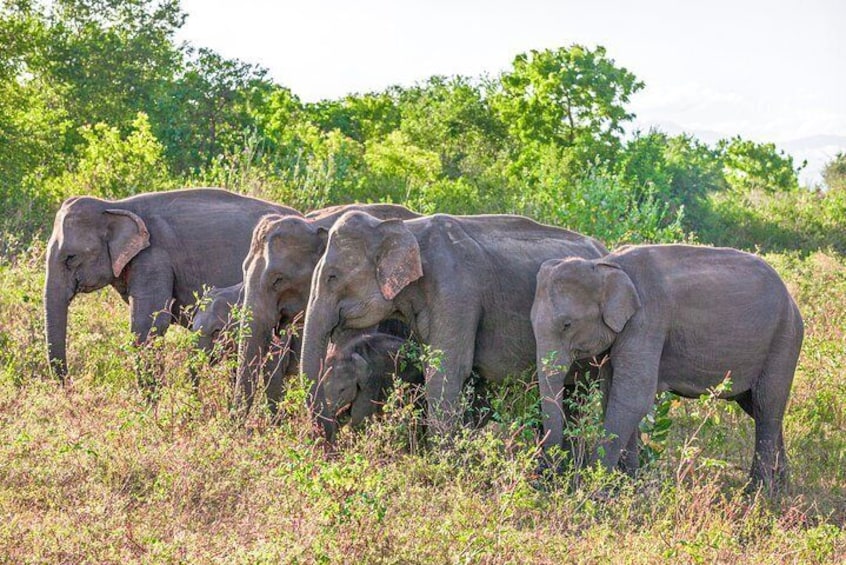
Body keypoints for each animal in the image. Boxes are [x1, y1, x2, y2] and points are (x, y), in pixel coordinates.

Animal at [532, 243, 804, 490]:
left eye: (567, 324)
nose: (550, 478)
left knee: (766, 405)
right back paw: (781, 489)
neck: (606, 265)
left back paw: (757, 493)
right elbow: (613, 395)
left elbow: (632, 398)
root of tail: (791, 300)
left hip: (784, 340)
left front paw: (596, 488)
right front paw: (628, 484)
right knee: (758, 408)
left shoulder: (648, 320)